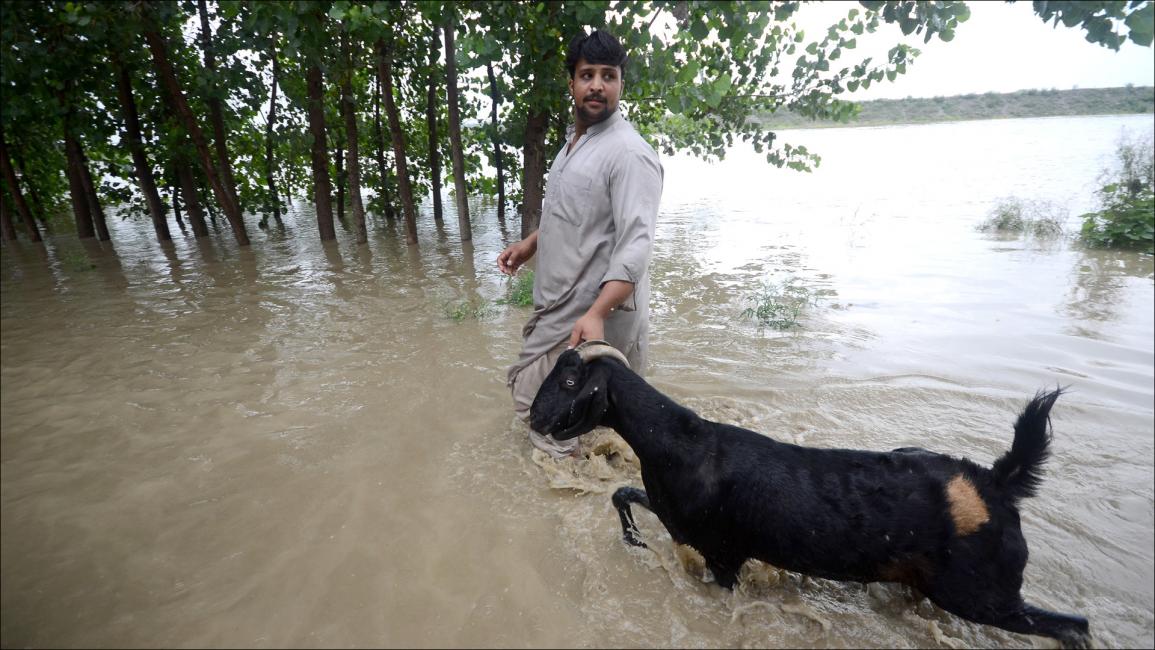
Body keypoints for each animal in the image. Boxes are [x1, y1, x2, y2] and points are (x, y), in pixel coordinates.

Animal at [531, 344, 1090, 646]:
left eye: (571, 379)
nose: (534, 417)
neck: (682, 445)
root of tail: (997, 481)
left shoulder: (723, 556)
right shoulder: (680, 523)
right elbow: (621, 495)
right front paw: (633, 541)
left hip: (983, 594)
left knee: (1075, 627)